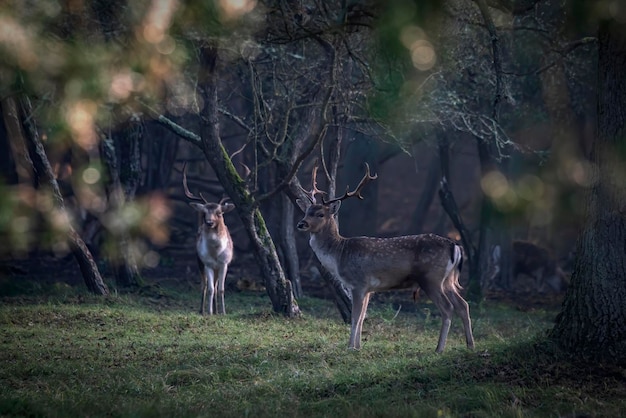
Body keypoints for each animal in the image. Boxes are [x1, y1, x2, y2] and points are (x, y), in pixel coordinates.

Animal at [185, 162, 236, 314]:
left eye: (219, 213)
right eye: (204, 213)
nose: (209, 222)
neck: (215, 252)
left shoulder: (224, 263)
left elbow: (221, 289)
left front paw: (223, 312)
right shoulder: (207, 263)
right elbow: (210, 289)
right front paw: (209, 312)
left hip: (217, 268)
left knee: (215, 284)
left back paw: (217, 310)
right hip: (200, 262)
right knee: (205, 285)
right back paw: (202, 310)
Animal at [296, 163, 472, 352]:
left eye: (320, 214)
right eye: (306, 211)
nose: (301, 224)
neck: (339, 254)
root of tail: (455, 246)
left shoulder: (358, 283)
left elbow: (355, 317)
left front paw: (350, 347)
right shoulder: (368, 289)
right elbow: (362, 317)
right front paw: (358, 346)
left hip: (431, 278)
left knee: (447, 308)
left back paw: (439, 349)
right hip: (448, 280)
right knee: (463, 305)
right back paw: (470, 345)